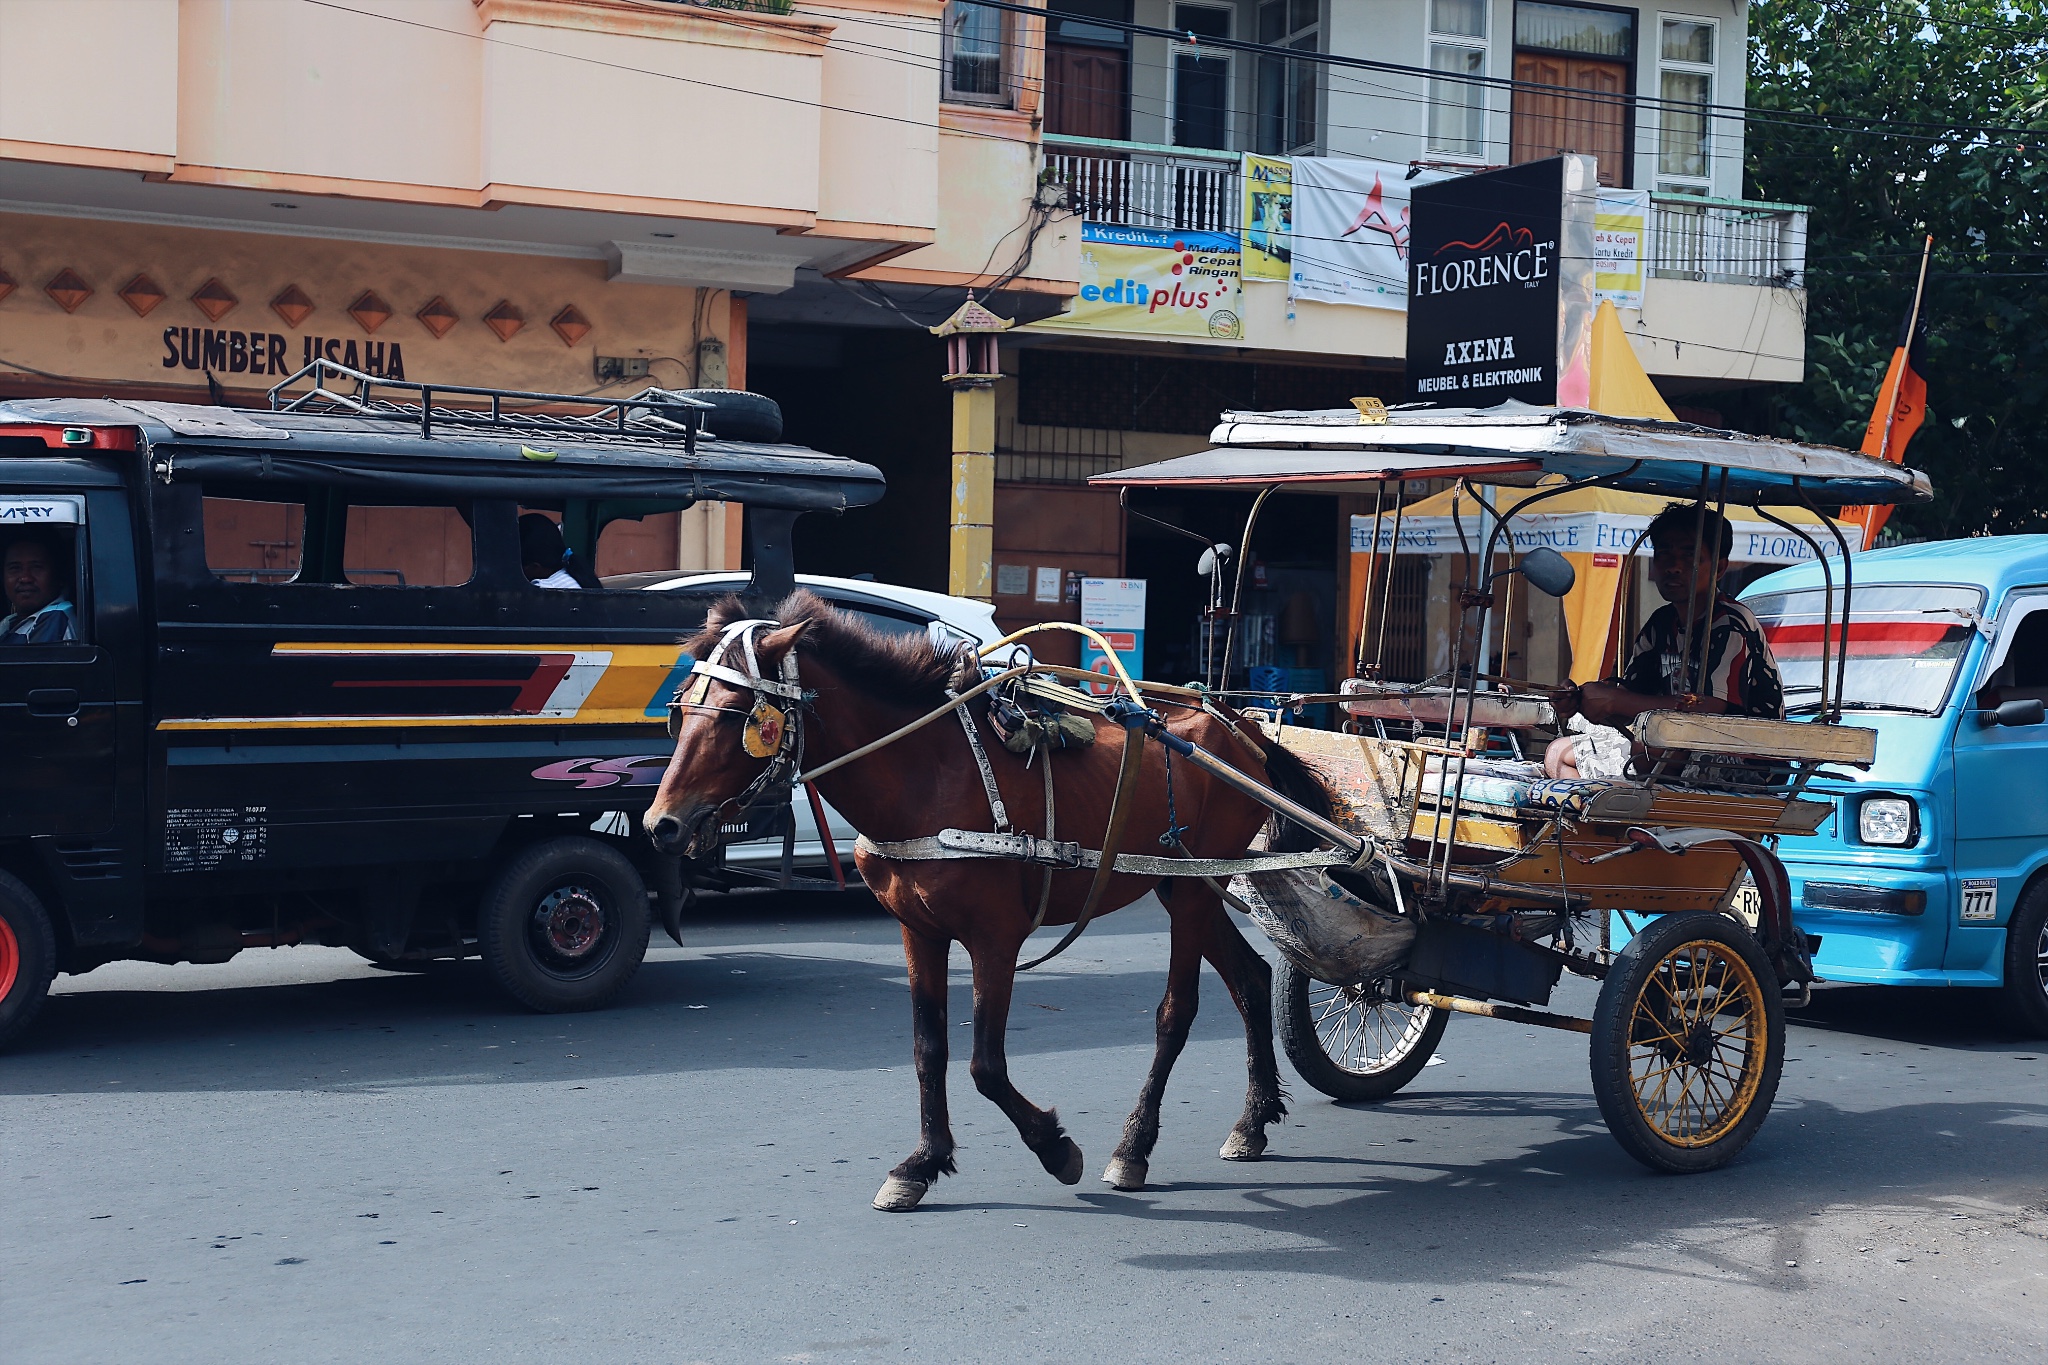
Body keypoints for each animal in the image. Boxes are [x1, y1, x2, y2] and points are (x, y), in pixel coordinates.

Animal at [651, 593, 1327, 1211]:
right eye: (679, 710)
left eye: (736, 715)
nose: (662, 825)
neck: (925, 774)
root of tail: (1241, 728)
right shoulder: (917, 930)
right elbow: (929, 1050)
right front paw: (922, 1163)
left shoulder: (995, 938)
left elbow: (985, 1064)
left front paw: (1054, 1147)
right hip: (1187, 881)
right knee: (1251, 978)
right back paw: (1253, 1120)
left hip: (1190, 887)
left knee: (1176, 1013)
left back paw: (1134, 1148)